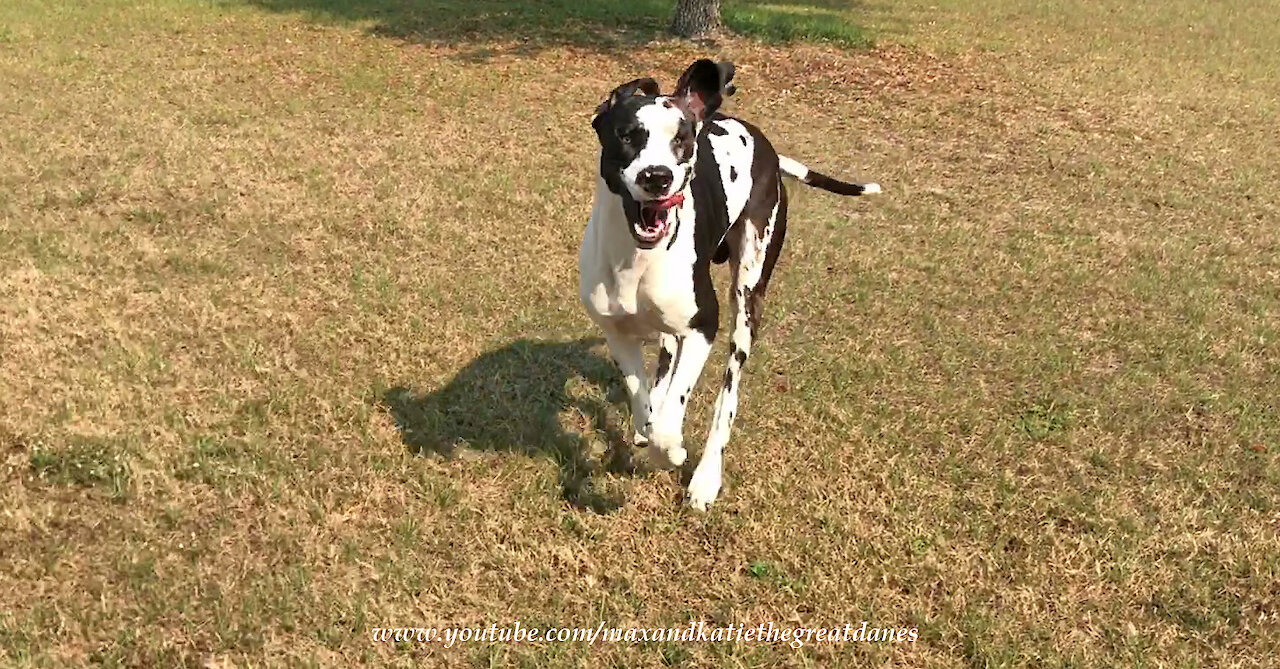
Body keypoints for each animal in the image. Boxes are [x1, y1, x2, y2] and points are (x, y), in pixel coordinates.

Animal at [581, 60, 880, 511]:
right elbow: (642, 402)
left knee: (728, 395)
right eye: (627, 135)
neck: (635, 260)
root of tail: (767, 147)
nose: (657, 177)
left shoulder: (704, 326)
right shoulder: (617, 333)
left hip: (746, 301)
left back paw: (706, 477)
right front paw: (648, 419)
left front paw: (673, 451)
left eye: (681, 141)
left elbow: (667, 425)